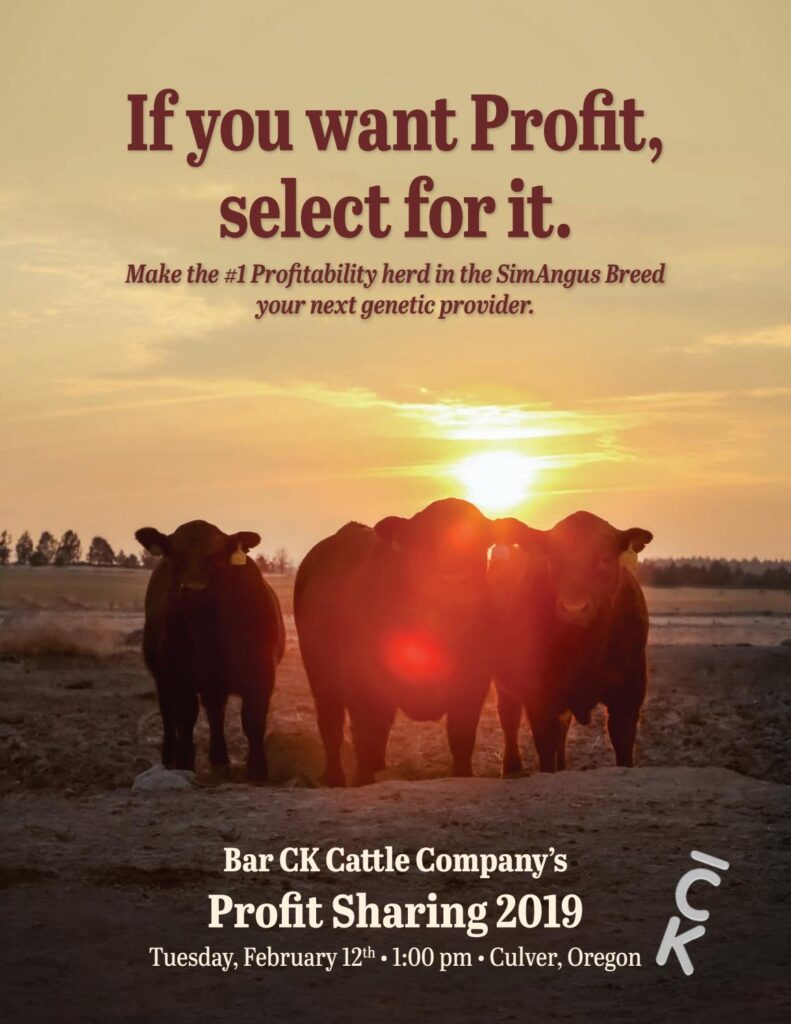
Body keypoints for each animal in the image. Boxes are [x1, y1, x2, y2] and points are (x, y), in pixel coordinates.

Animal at [135, 520, 285, 782]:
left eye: (216, 556)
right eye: (175, 554)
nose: (195, 590)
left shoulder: (261, 676)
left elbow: (253, 721)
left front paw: (258, 772)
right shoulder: (178, 678)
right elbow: (185, 718)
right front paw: (183, 764)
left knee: (216, 714)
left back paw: (219, 761)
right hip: (163, 681)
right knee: (170, 718)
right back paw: (170, 759)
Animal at [294, 498, 498, 786]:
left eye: (480, 543)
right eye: (423, 542)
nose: (454, 579)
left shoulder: (473, 683)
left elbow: (462, 737)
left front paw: (463, 776)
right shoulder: (364, 682)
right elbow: (365, 734)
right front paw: (362, 780)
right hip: (321, 677)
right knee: (332, 726)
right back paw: (333, 777)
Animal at [490, 511, 653, 775]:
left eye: (604, 558)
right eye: (553, 557)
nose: (574, 609)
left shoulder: (631, 690)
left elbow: (623, 742)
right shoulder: (539, 694)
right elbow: (546, 742)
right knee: (509, 720)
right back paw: (512, 769)